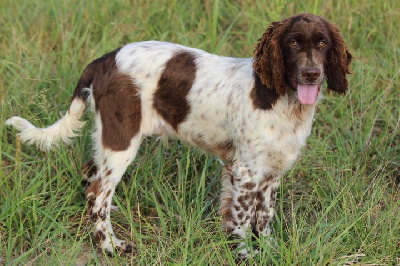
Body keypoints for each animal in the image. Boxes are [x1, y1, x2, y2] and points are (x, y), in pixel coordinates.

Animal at [4, 13, 352, 258]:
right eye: (293, 44)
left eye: (323, 44)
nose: (311, 74)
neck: (282, 100)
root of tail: (104, 60)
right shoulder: (246, 171)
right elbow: (241, 218)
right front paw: (244, 254)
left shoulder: (270, 172)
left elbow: (263, 216)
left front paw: (268, 250)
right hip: (122, 139)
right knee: (97, 193)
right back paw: (111, 247)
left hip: (108, 138)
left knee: (92, 178)